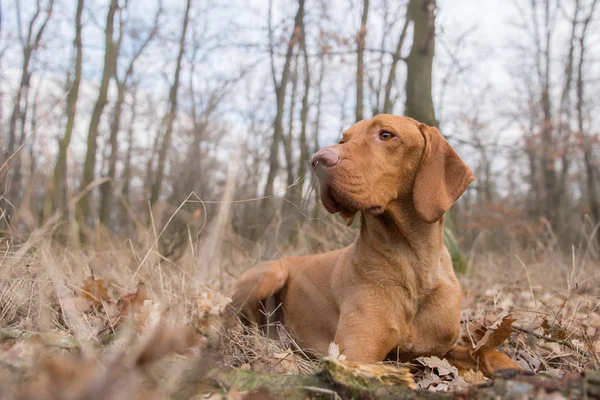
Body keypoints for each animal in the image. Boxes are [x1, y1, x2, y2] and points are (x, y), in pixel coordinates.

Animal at [232, 114, 516, 374]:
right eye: (343, 140)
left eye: (386, 135)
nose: (318, 160)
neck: (413, 264)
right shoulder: (355, 354)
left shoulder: (439, 349)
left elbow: (485, 352)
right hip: (272, 273)